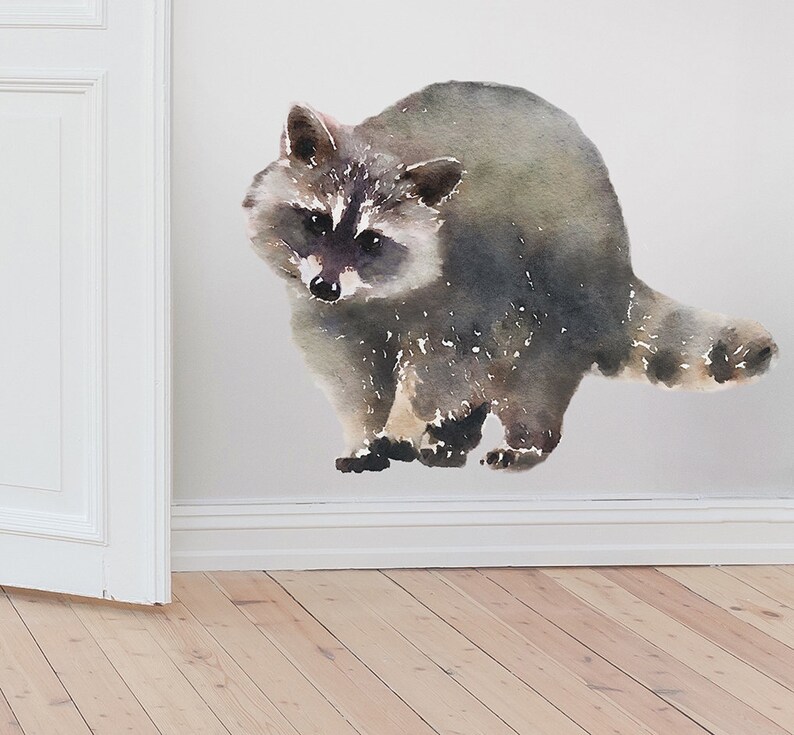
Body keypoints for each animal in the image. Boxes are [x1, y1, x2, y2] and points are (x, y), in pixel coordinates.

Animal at [243, 81, 777, 473]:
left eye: (373, 240)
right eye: (317, 222)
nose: (325, 286)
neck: (375, 296)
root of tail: (617, 267)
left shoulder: (471, 291)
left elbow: (437, 372)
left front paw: (402, 422)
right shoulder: (330, 317)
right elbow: (351, 377)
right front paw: (363, 435)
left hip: (553, 296)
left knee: (528, 379)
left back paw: (527, 442)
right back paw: (453, 442)